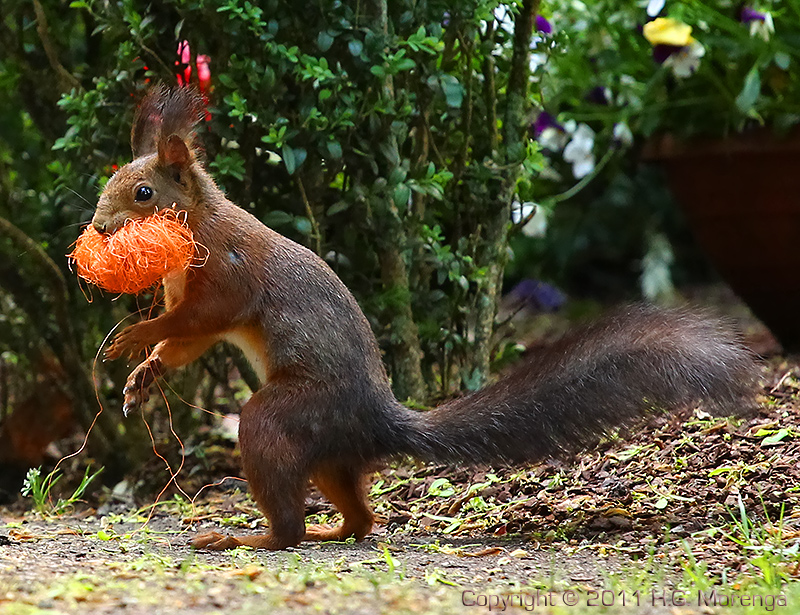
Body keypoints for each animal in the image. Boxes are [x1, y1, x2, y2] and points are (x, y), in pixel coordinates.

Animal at [94, 85, 756, 548]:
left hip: (283, 416)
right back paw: (332, 530)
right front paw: (145, 373)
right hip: (330, 457)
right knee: (361, 517)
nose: (98, 228)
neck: (195, 226)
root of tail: (377, 418)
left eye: (144, 194)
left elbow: (201, 318)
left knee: (293, 524)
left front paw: (133, 336)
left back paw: (245, 538)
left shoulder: (228, 272)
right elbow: (187, 340)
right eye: (111, 182)